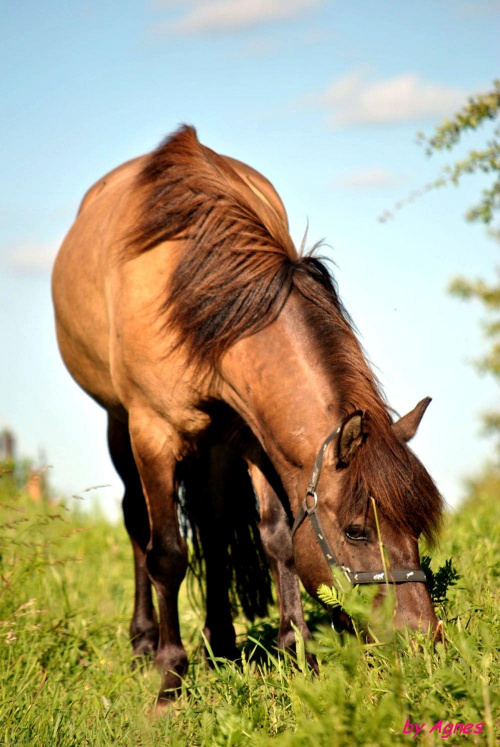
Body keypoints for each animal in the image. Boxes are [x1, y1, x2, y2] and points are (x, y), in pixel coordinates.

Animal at [52, 125, 444, 704]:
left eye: (416, 527)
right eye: (356, 532)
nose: (422, 640)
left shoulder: (251, 436)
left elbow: (278, 537)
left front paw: (298, 651)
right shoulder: (152, 433)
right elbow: (167, 552)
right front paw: (169, 680)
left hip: (213, 443)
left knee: (213, 529)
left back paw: (221, 641)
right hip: (118, 424)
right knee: (137, 522)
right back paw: (145, 641)